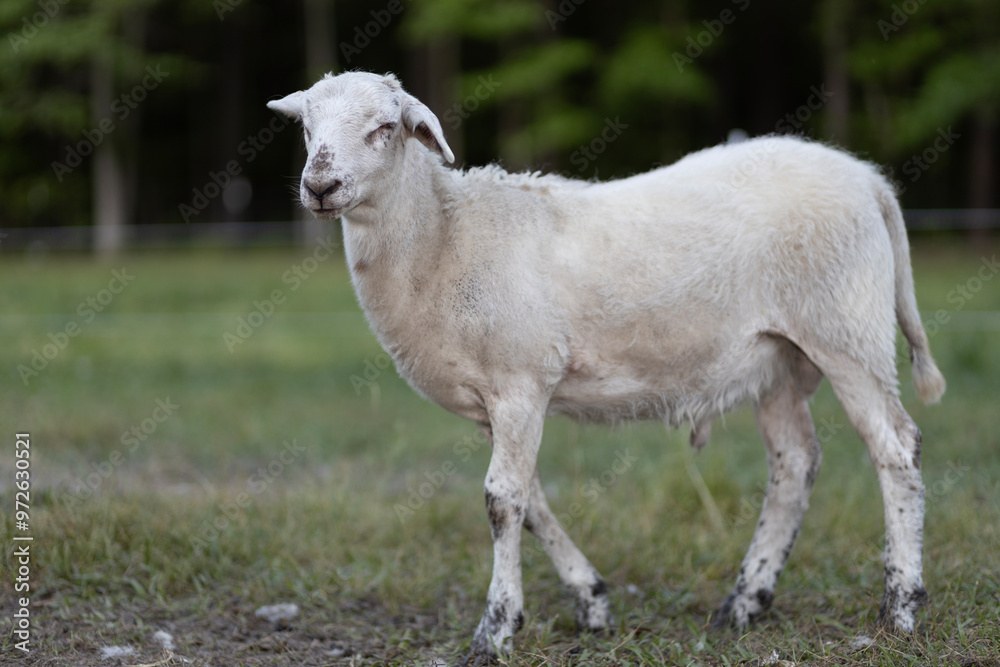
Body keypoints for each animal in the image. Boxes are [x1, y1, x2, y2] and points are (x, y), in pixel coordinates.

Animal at [267, 71, 946, 659]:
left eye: (386, 126)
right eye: (307, 126)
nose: (319, 186)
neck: (445, 239)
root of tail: (869, 180)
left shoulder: (520, 382)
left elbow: (502, 501)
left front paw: (496, 630)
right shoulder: (493, 402)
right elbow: (531, 500)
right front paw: (590, 601)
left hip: (846, 331)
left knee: (896, 449)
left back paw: (900, 609)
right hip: (778, 358)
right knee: (795, 463)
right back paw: (745, 602)